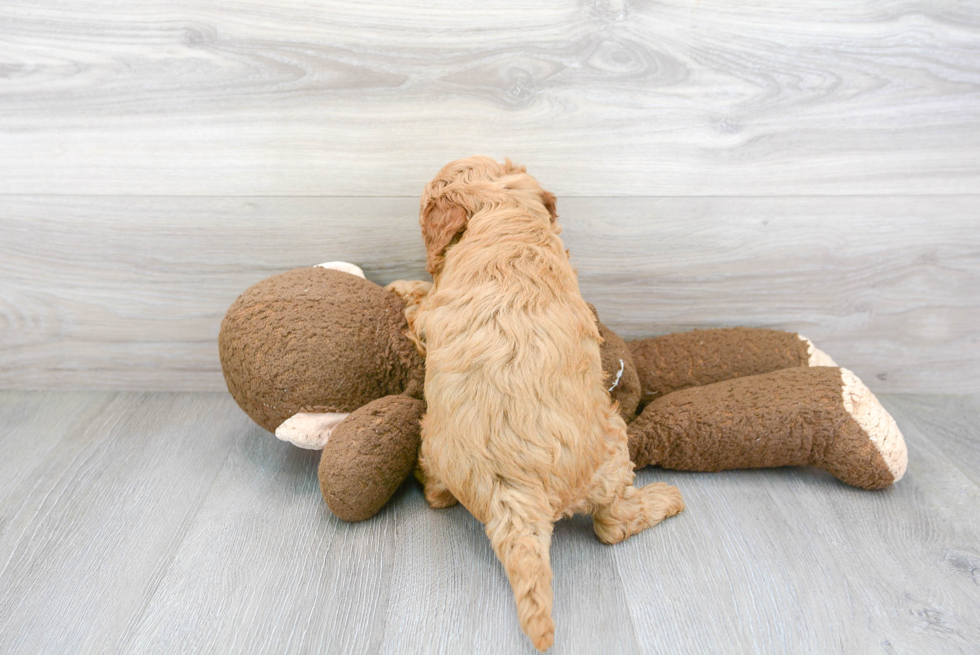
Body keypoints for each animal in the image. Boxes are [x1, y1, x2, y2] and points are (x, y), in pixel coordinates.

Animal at [406, 158, 680, 652]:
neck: (504, 214)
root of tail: (516, 491)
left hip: (435, 441)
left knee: (437, 494)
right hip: (613, 449)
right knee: (612, 524)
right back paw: (665, 498)